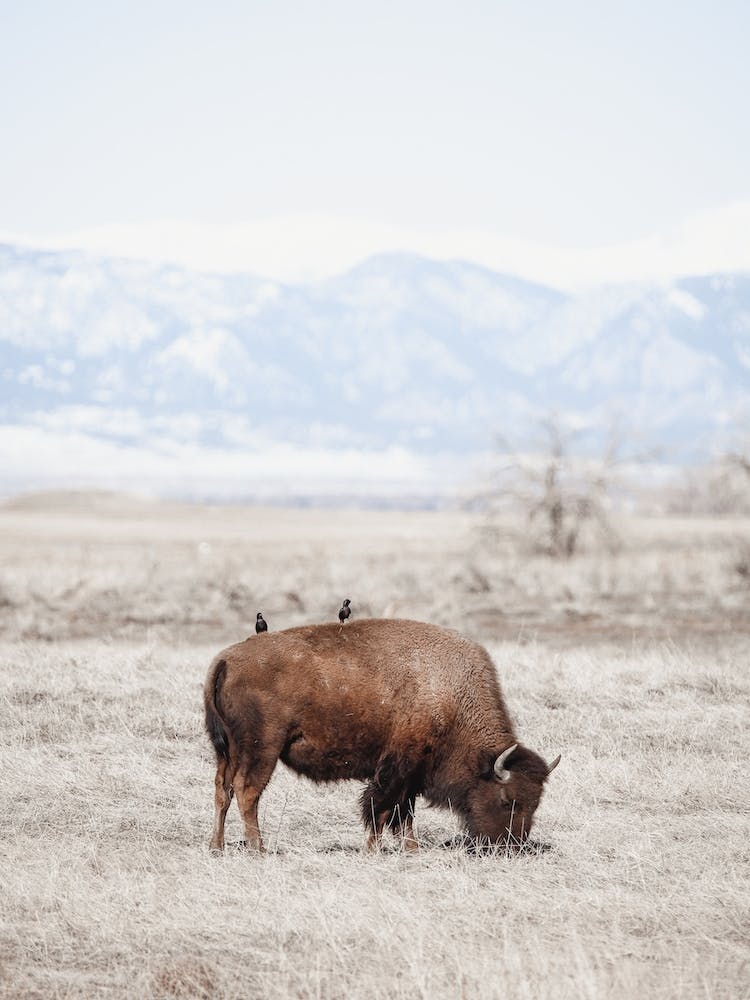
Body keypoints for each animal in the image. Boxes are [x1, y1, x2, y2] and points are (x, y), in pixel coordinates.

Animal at [204, 618, 560, 853]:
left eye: (536, 802)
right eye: (507, 799)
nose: (512, 846)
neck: (449, 695)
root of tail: (226, 660)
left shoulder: (411, 774)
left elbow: (402, 813)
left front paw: (410, 849)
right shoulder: (399, 768)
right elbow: (383, 808)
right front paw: (375, 848)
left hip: (226, 751)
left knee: (223, 790)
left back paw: (217, 847)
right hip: (262, 748)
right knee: (247, 792)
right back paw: (259, 849)